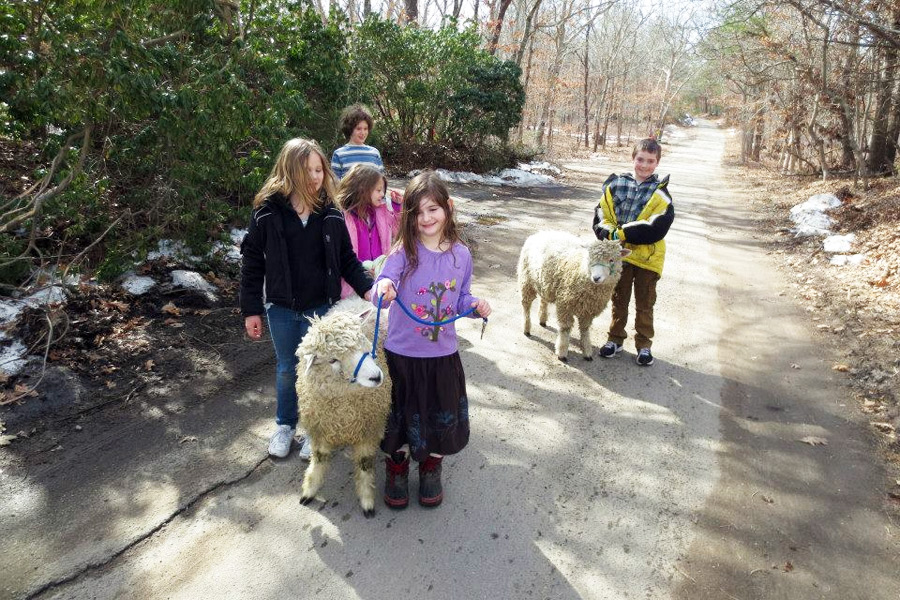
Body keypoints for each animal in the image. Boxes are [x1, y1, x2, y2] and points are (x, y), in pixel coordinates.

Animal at [296, 298, 390, 516]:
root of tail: (354, 299)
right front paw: (310, 489)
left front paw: (366, 499)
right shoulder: (320, 427)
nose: (376, 376)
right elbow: (320, 458)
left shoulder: (368, 427)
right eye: (332, 360)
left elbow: (364, 462)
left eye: (363, 341)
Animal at [516, 230, 628, 360]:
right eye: (590, 258)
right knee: (526, 306)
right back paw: (526, 328)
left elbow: (585, 329)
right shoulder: (565, 305)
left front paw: (587, 350)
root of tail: (540, 232)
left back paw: (542, 319)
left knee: (543, 300)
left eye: (611, 260)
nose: (596, 278)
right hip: (526, 280)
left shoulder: (588, 310)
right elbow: (565, 328)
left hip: (544, 282)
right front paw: (562, 352)